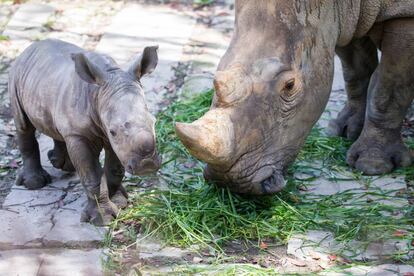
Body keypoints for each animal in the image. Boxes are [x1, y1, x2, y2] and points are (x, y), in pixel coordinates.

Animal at [9, 38, 162, 224]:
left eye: (154, 122)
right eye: (113, 131)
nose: (147, 165)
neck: (99, 92)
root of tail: (30, 47)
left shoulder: (111, 138)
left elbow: (114, 169)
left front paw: (118, 200)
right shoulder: (81, 135)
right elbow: (92, 176)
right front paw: (103, 219)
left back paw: (62, 164)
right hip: (17, 76)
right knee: (24, 125)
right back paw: (35, 183)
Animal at [176, 0, 414, 194]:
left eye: (290, 86)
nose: (229, 181)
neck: (337, 5)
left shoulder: (405, 16)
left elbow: (388, 89)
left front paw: (372, 165)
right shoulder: (346, 20)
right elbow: (356, 70)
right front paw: (345, 130)